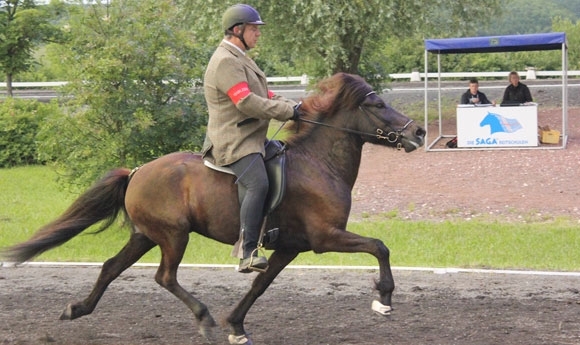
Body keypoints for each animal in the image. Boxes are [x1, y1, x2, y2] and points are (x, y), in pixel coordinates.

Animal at [1, 72, 426, 344]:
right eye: (379, 104)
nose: (419, 132)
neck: (318, 163)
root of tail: (137, 171)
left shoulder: (291, 246)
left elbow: (259, 285)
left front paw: (236, 325)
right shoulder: (326, 238)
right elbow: (379, 247)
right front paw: (384, 299)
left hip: (145, 235)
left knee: (110, 267)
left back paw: (77, 310)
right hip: (173, 235)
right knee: (164, 277)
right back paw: (203, 319)